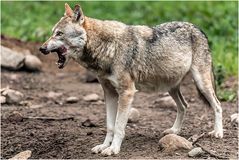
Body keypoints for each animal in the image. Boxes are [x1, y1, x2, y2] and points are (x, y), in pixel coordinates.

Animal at [39, 3, 224, 156]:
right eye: (52, 33)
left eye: (59, 34)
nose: (41, 48)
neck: (108, 48)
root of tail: (198, 28)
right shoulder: (109, 93)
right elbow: (110, 126)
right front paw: (104, 146)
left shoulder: (127, 93)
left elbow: (119, 126)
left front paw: (113, 149)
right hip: (170, 87)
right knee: (184, 106)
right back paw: (174, 131)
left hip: (201, 83)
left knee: (217, 105)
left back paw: (218, 133)